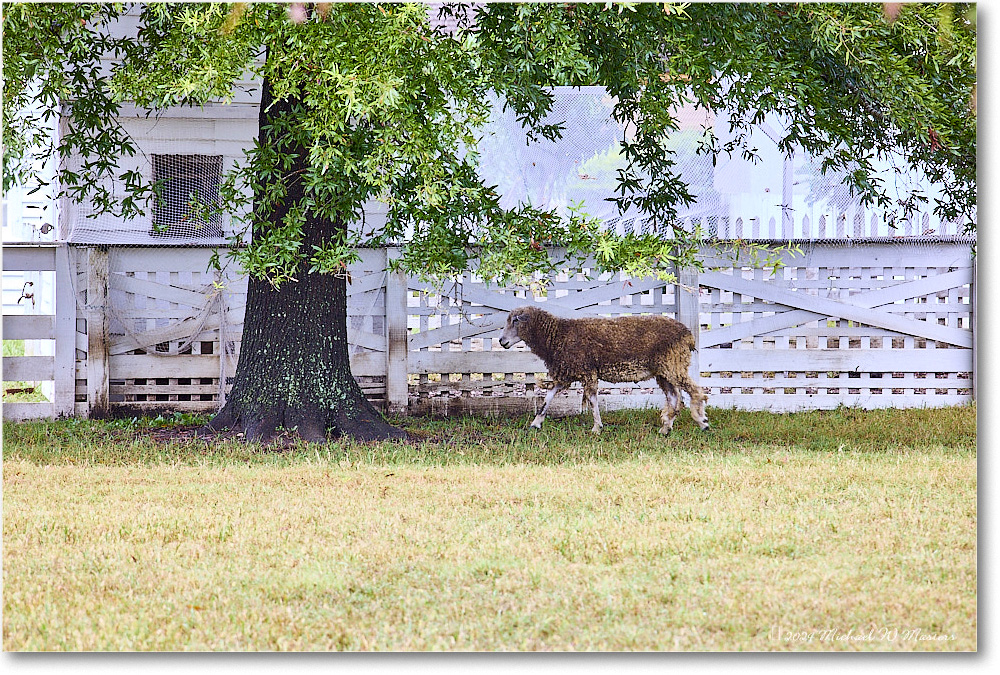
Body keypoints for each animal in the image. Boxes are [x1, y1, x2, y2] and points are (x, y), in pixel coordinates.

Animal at [496, 304, 708, 436]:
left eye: (516, 320)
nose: (501, 341)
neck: (557, 336)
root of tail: (688, 335)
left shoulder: (587, 371)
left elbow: (591, 400)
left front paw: (597, 427)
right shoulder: (566, 372)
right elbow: (548, 398)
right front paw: (535, 423)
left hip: (673, 365)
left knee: (695, 391)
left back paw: (702, 422)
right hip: (664, 371)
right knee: (674, 397)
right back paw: (666, 428)